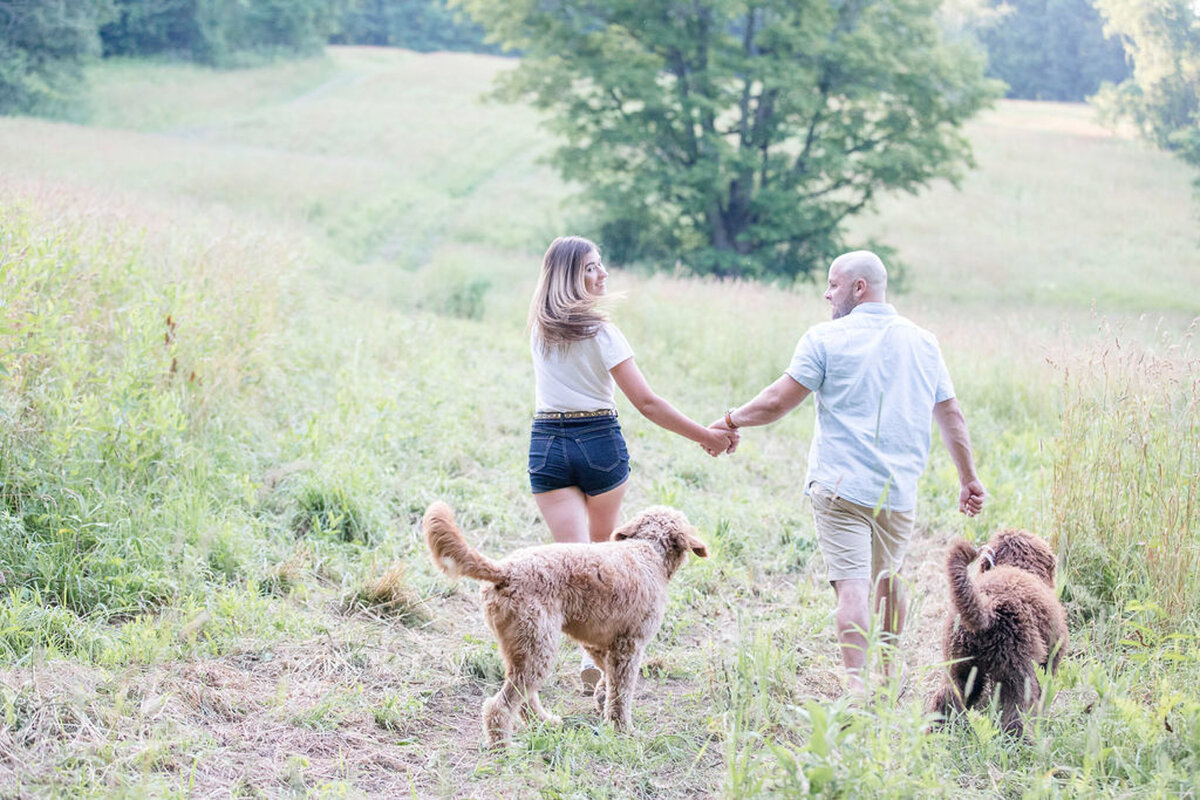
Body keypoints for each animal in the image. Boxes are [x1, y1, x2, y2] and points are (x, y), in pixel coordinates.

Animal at [422, 503, 705, 748]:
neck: (647, 550)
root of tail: (504, 571)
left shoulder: (599, 642)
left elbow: (608, 677)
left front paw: (601, 696)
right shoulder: (630, 645)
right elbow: (621, 694)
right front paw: (623, 730)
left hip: (523, 648)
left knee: (524, 699)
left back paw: (543, 723)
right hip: (538, 647)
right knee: (500, 705)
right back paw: (503, 746)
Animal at [926, 532, 1070, 738]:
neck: (1017, 566)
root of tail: (989, 609)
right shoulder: (1051, 656)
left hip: (958, 664)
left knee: (946, 697)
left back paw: (937, 734)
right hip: (1018, 671)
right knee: (1017, 714)